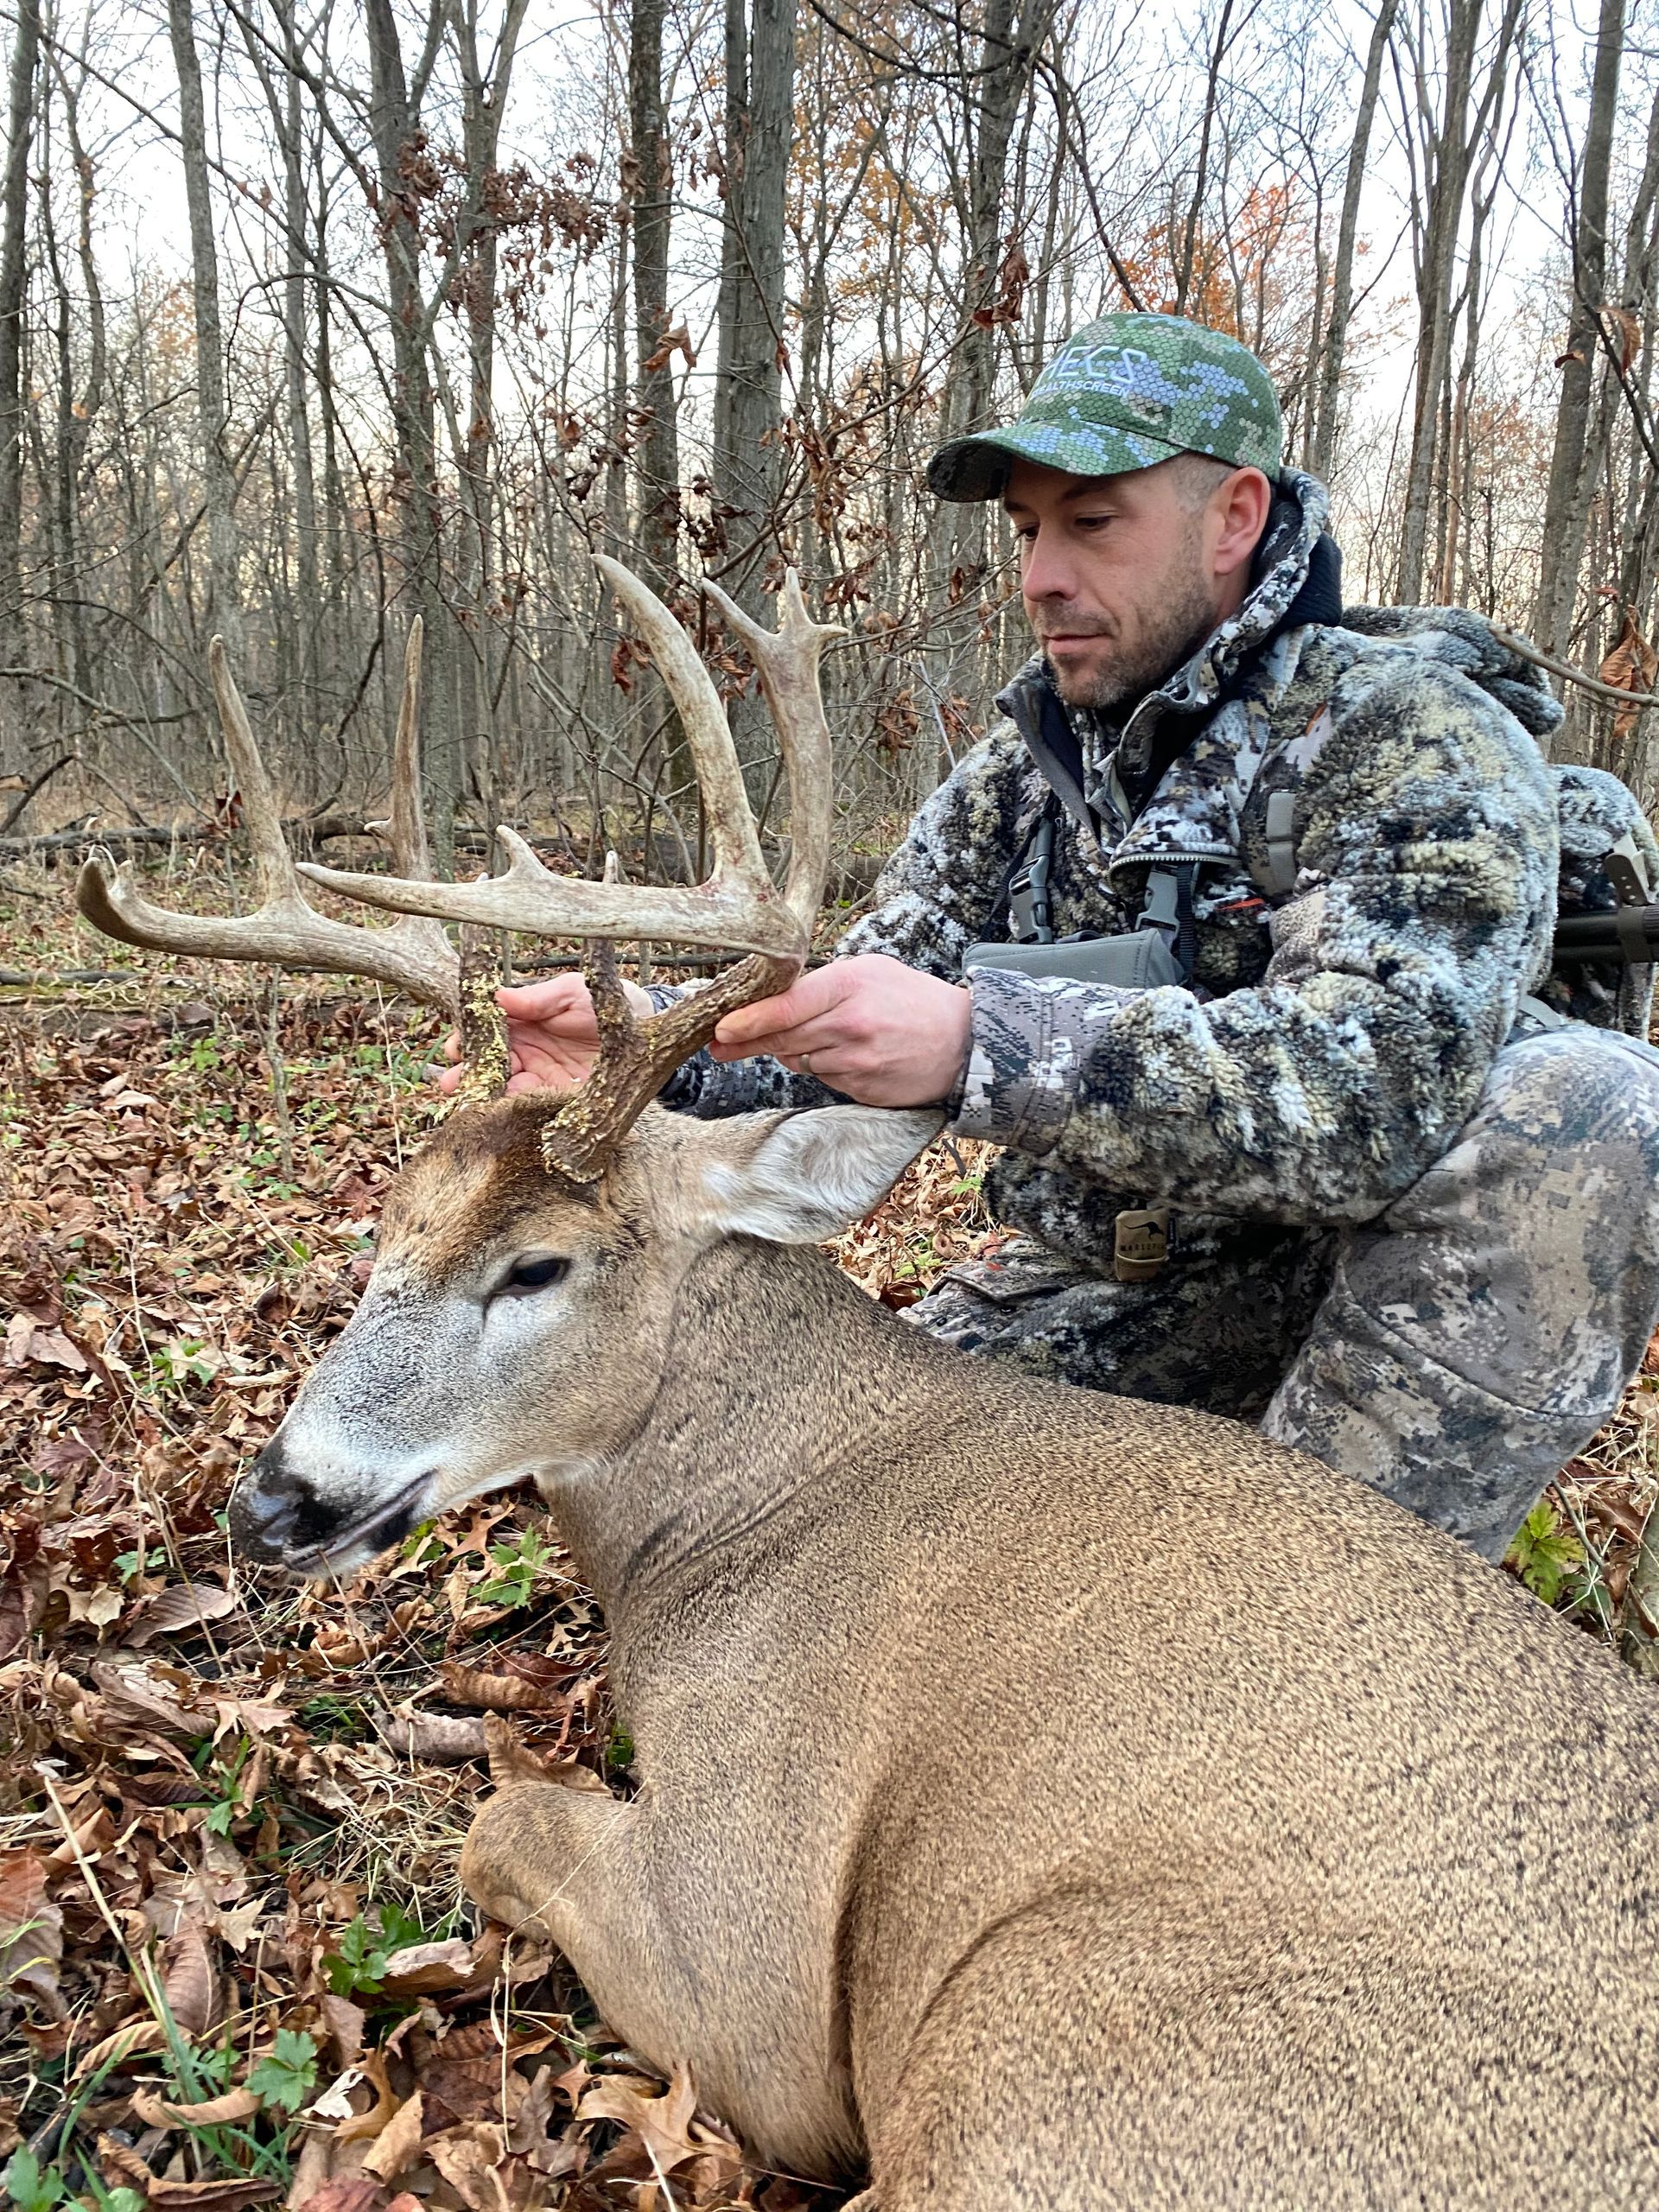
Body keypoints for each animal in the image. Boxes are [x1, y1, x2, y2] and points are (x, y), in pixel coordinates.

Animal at [78, 567, 1659, 2210]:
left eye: (538, 1267)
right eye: (385, 1229)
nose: (273, 1501)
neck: (744, 1518)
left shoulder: (752, 1947)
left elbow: (504, 1821)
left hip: (1037, 2060)